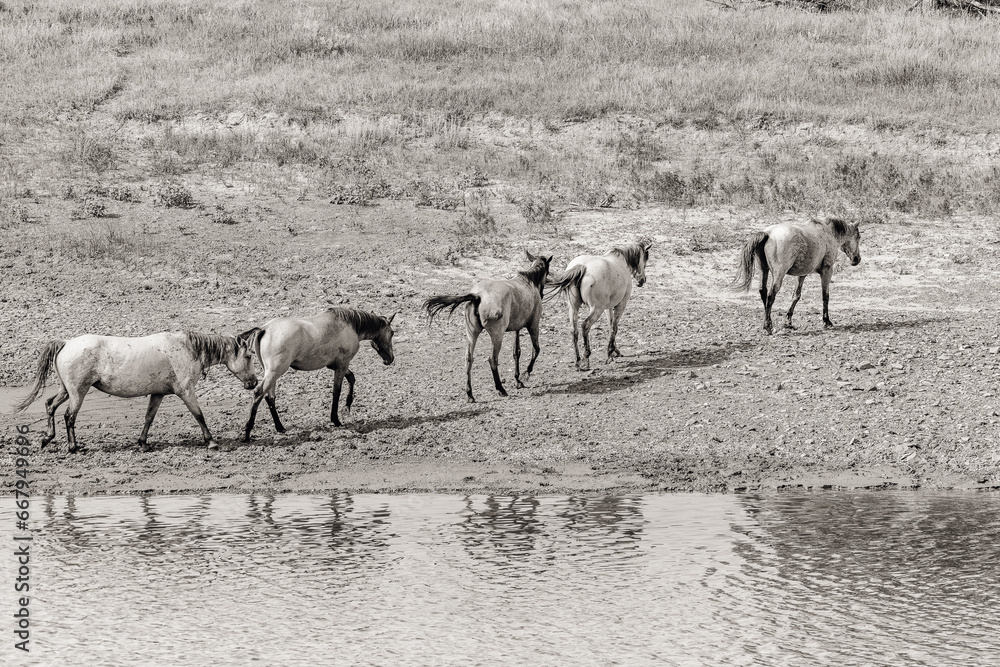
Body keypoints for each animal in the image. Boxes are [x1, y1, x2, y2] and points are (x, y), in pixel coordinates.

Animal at [14, 332, 258, 452]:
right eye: (248, 356)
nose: (254, 383)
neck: (187, 349)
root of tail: (66, 343)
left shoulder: (158, 394)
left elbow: (149, 418)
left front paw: (142, 443)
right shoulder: (187, 392)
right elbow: (199, 415)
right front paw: (212, 442)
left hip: (66, 390)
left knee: (50, 406)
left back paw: (47, 438)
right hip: (77, 393)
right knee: (69, 416)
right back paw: (74, 447)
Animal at [239, 307, 396, 440]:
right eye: (392, 333)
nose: (390, 359)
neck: (350, 325)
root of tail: (264, 329)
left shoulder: (336, 365)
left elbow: (351, 378)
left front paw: (347, 406)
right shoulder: (342, 365)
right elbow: (336, 391)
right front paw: (336, 419)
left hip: (271, 373)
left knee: (269, 397)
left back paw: (280, 427)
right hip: (274, 372)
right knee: (259, 393)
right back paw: (247, 432)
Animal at [424, 251, 552, 403]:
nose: (542, 294)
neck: (528, 282)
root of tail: (478, 296)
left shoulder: (516, 329)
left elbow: (516, 352)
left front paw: (518, 380)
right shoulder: (533, 325)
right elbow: (536, 349)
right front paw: (525, 374)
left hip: (472, 334)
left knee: (469, 359)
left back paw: (470, 394)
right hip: (497, 336)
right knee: (492, 359)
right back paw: (500, 389)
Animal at [548, 237, 653, 371]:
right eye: (645, 260)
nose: (642, 280)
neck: (621, 261)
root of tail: (582, 266)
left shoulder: (608, 307)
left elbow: (610, 325)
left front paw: (614, 351)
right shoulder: (621, 305)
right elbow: (614, 327)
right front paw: (610, 353)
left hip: (573, 307)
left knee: (574, 331)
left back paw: (577, 361)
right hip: (597, 309)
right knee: (585, 326)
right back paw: (586, 358)